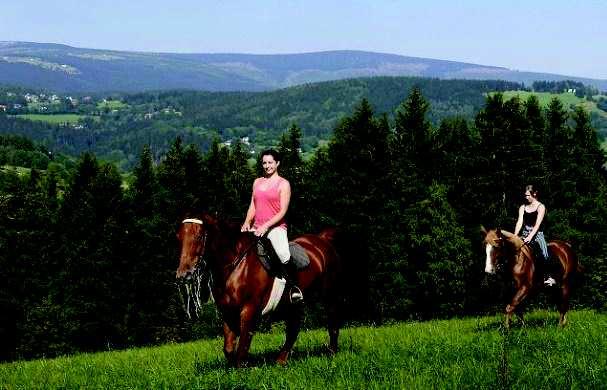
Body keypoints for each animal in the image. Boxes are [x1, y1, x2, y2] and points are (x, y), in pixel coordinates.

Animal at [176, 215, 342, 368]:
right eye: (179, 237)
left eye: (199, 236)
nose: (183, 275)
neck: (236, 266)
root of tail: (321, 239)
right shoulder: (228, 311)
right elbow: (228, 348)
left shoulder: (249, 309)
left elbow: (243, 344)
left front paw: (241, 371)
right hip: (294, 305)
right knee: (293, 330)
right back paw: (280, 361)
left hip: (330, 295)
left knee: (332, 323)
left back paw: (332, 354)